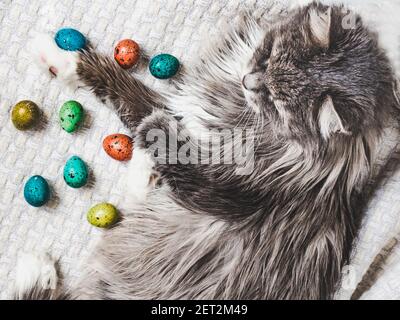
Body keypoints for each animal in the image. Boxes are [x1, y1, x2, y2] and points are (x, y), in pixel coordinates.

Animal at [14, 1, 400, 298]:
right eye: (269, 56)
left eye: (276, 103)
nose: (248, 80)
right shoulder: (187, 112)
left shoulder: (216, 184)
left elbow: (138, 108)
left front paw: (64, 58)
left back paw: (35, 269)